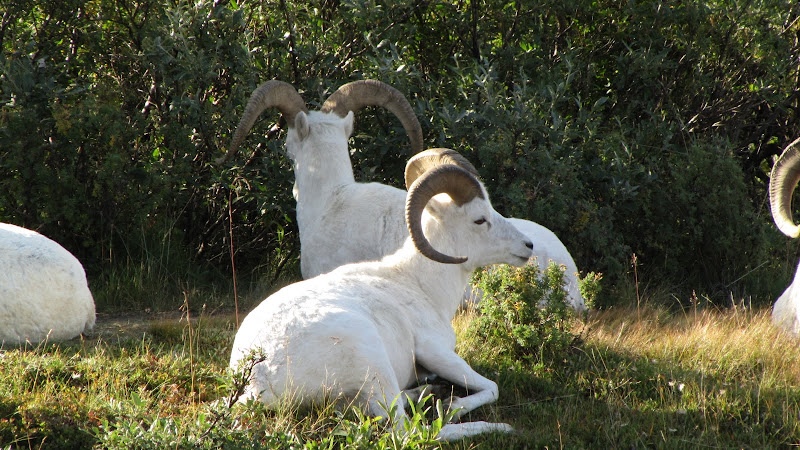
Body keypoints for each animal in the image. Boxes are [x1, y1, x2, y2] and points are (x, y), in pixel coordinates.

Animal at [228, 150, 536, 440]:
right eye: (479, 219)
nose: (528, 245)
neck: (419, 285)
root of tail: (257, 379)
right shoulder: (435, 352)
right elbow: (493, 387)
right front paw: (454, 405)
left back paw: (425, 393)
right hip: (374, 362)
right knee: (410, 431)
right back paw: (494, 425)